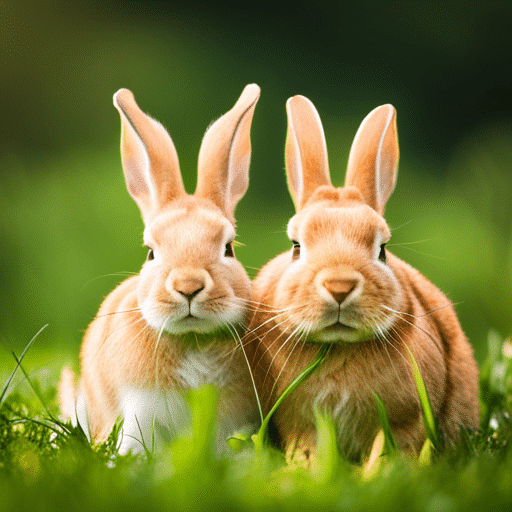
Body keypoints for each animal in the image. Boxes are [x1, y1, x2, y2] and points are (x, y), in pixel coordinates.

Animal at [248, 95, 480, 464]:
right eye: (296, 246)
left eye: (382, 250)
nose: (339, 287)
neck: (339, 346)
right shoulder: (300, 424)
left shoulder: (405, 422)